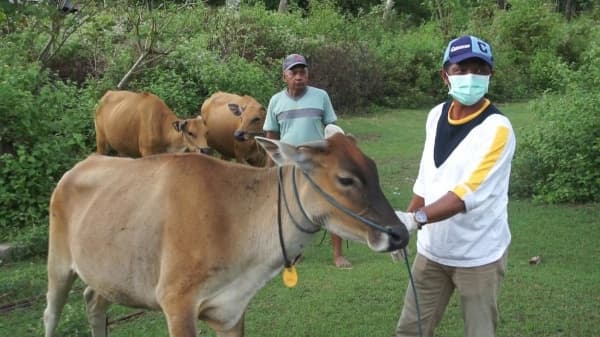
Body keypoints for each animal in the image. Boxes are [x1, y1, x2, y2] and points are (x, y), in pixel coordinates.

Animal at [41, 131, 408, 336]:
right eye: (346, 179)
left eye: (373, 169)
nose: (400, 234)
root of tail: (76, 168)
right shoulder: (176, 303)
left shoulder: (231, 312)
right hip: (58, 265)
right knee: (50, 314)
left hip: (110, 274)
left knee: (93, 301)